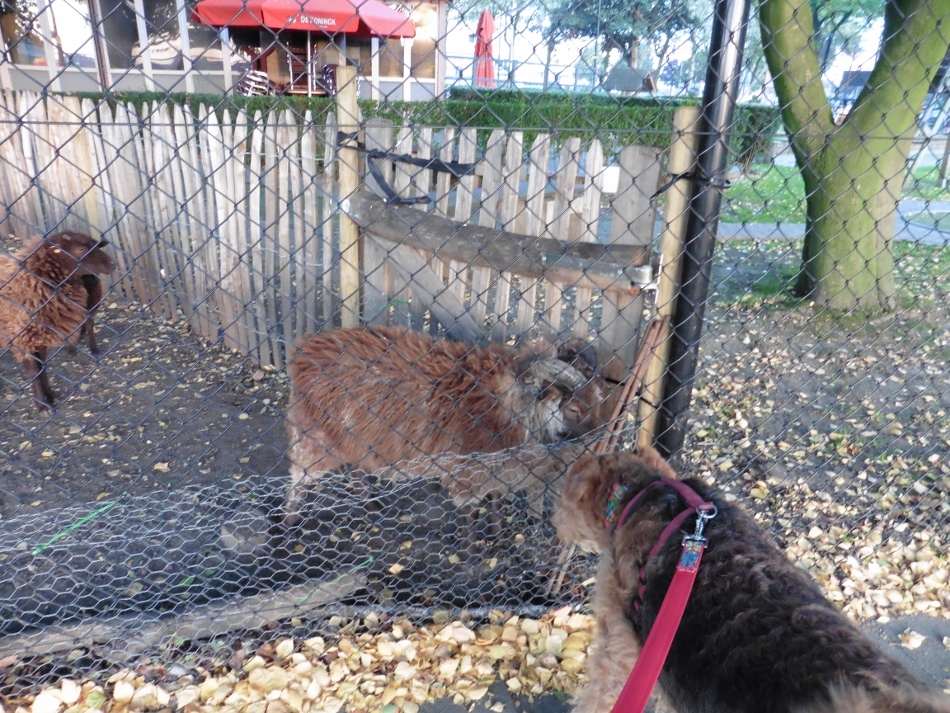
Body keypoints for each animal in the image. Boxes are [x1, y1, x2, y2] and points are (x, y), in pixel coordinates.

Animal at [283, 326, 609, 525]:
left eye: (600, 399)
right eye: (574, 408)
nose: (601, 444)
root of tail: (304, 349)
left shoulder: (494, 471)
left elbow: (493, 505)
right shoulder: (465, 476)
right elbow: (468, 517)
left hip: (355, 440)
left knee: (355, 469)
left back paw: (371, 505)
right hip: (314, 439)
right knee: (298, 478)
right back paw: (289, 523)